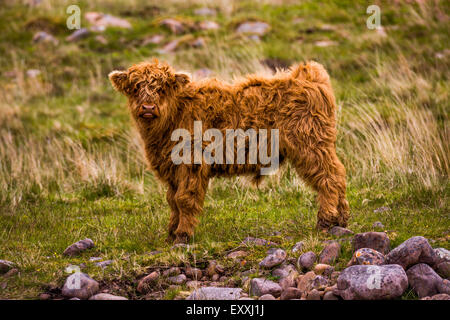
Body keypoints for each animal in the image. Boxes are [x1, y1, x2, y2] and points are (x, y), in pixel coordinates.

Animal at [110, 58, 352, 242]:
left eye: (161, 88)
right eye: (135, 87)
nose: (148, 108)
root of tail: (307, 76)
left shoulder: (191, 163)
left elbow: (184, 199)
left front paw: (183, 235)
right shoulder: (171, 169)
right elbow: (172, 201)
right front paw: (171, 233)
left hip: (310, 146)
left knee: (329, 177)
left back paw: (325, 221)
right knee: (338, 174)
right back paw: (341, 219)